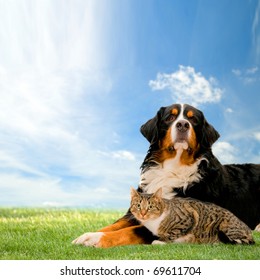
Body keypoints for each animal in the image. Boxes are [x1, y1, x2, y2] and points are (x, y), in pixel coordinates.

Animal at [72, 103, 260, 247]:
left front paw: (96, 239)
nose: (183, 124)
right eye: (170, 117)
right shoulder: (135, 211)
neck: (173, 168)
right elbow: (113, 225)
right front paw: (87, 235)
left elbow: (128, 231)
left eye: (193, 119)